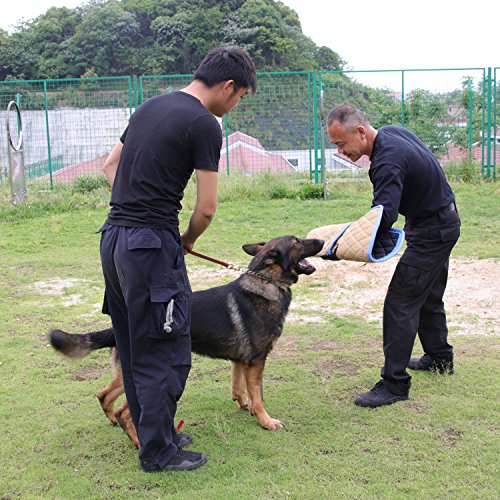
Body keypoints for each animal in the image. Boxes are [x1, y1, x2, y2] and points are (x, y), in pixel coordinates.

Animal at [50, 236, 324, 448]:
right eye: (297, 241)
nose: (322, 241)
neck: (266, 283)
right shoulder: (255, 361)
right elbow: (258, 396)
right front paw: (265, 420)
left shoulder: (240, 361)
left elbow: (239, 389)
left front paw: (245, 406)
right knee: (124, 410)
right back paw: (139, 442)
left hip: (126, 375)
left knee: (105, 395)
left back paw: (114, 423)